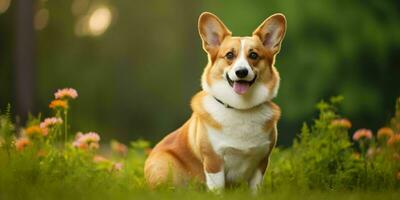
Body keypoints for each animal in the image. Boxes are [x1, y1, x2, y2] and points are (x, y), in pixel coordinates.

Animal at [145, 11, 286, 192]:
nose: (241, 72)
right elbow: (217, 189)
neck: (240, 108)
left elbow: (255, 189)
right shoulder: (213, 161)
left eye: (253, 55)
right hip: (163, 166)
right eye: (229, 55)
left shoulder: (261, 162)